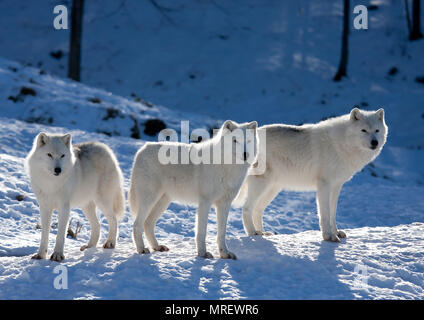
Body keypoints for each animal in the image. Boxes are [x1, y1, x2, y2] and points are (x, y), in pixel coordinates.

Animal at [25, 132, 124, 260]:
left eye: (62, 155)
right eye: (49, 155)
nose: (58, 170)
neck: (51, 183)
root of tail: (105, 148)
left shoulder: (64, 207)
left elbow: (60, 234)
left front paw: (57, 255)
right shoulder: (44, 207)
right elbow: (44, 234)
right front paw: (41, 255)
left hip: (103, 202)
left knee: (113, 220)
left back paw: (110, 243)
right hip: (86, 207)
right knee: (97, 225)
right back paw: (89, 246)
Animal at [129, 119, 256, 258]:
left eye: (249, 141)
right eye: (235, 140)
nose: (245, 154)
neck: (227, 166)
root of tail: (142, 149)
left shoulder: (224, 204)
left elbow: (222, 233)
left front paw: (225, 254)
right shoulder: (205, 203)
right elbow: (201, 232)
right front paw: (203, 253)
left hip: (163, 202)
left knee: (148, 223)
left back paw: (157, 247)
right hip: (149, 200)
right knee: (137, 224)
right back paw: (142, 249)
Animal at [237, 109, 390, 241]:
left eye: (377, 130)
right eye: (363, 130)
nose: (375, 142)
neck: (341, 144)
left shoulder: (336, 186)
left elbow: (332, 212)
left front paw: (336, 232)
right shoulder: (324, 185)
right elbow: (325, 214)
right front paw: (328, 236)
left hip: (273, 189)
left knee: (257, 209)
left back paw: (262, 233)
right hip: (262, 185)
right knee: (246, 208)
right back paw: (253, 233)